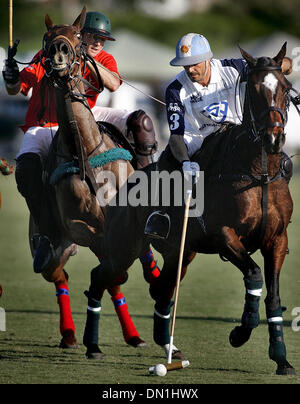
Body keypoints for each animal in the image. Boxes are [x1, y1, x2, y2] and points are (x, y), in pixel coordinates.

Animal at [29, 7, 161, 354]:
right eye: (46, 37)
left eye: (77, 38)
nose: (58, 53)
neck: (85, 150)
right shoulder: (80, 225)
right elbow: (104, 256)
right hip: (52, 248)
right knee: (62, 277)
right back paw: (71, 335)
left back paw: (134, 333)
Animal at [83, 42, 296, 374]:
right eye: (255, 90)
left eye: (285, 88)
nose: (274, 139)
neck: (258, 173)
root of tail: (126, 185)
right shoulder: (225, 235)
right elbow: (254, 274)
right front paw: (240, 333)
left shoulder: (277, 239)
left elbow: (273, 297)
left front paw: (281, 358)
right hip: (123, 248)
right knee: (99, 277)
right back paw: (92, 346)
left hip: (181, 253)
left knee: (161, 291)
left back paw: (168, 348)